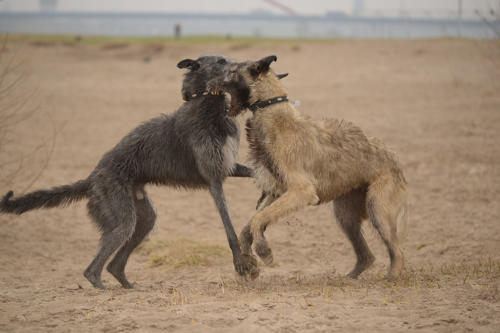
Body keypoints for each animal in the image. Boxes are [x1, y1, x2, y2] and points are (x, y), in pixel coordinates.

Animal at [0, 54, 250, 288]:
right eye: (221, 61)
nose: (246, 68)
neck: (208, 103)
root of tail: (91, 178)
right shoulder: (214, 179)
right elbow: (229, 227)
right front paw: (239, 262)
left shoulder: (228, 166)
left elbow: (253, 172)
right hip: (120, 215)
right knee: (94, 268)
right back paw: (101, 286)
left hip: (142, 215)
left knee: (115, 264)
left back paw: (127, 285)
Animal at [209, 55, 408, 278]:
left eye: (232, 71)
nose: (208, 83)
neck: (272, 110)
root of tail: (394, 159)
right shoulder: (277, 191)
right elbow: (251, 223)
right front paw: (248, 256)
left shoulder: (300, 191)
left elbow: (259, 219)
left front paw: (263, 250)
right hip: (346, 216)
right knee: (367, 256)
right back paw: (350, 278)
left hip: (378, 211)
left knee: (397, 251)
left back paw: (390, 277)